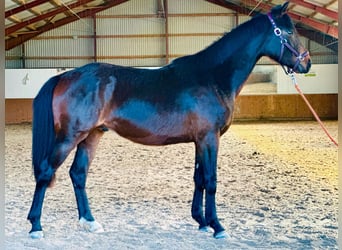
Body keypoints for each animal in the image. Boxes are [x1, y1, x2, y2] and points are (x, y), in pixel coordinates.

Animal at [28, 2, 312, 239]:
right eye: (288, 32)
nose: (306, 63)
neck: (212, 76)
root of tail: (65, 76)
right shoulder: (210, 138)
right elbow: (211, 180)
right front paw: (217, 226)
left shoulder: (200, 140)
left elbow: (199, 178)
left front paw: (201, 221)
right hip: (69, 136)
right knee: (46, 171)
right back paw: (36, 226)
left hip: (91, 136)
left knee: (78, 173)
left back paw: (89, 221)